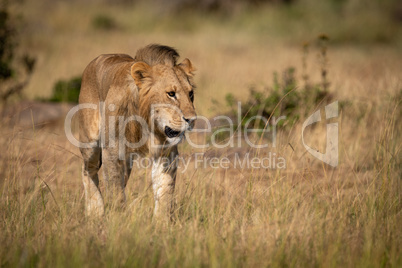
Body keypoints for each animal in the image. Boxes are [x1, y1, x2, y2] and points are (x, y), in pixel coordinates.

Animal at [77, 44, 196, 218]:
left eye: (191, 94)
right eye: (171, 94)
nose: (192, 119)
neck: (148, 122)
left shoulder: (166, 154)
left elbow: (165, 191)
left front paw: (161, 222)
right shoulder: (112, 151)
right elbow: (116, 192)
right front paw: (117, 219)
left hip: (127, 162)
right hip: (90, 144)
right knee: (87, 171)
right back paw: (95, 211)